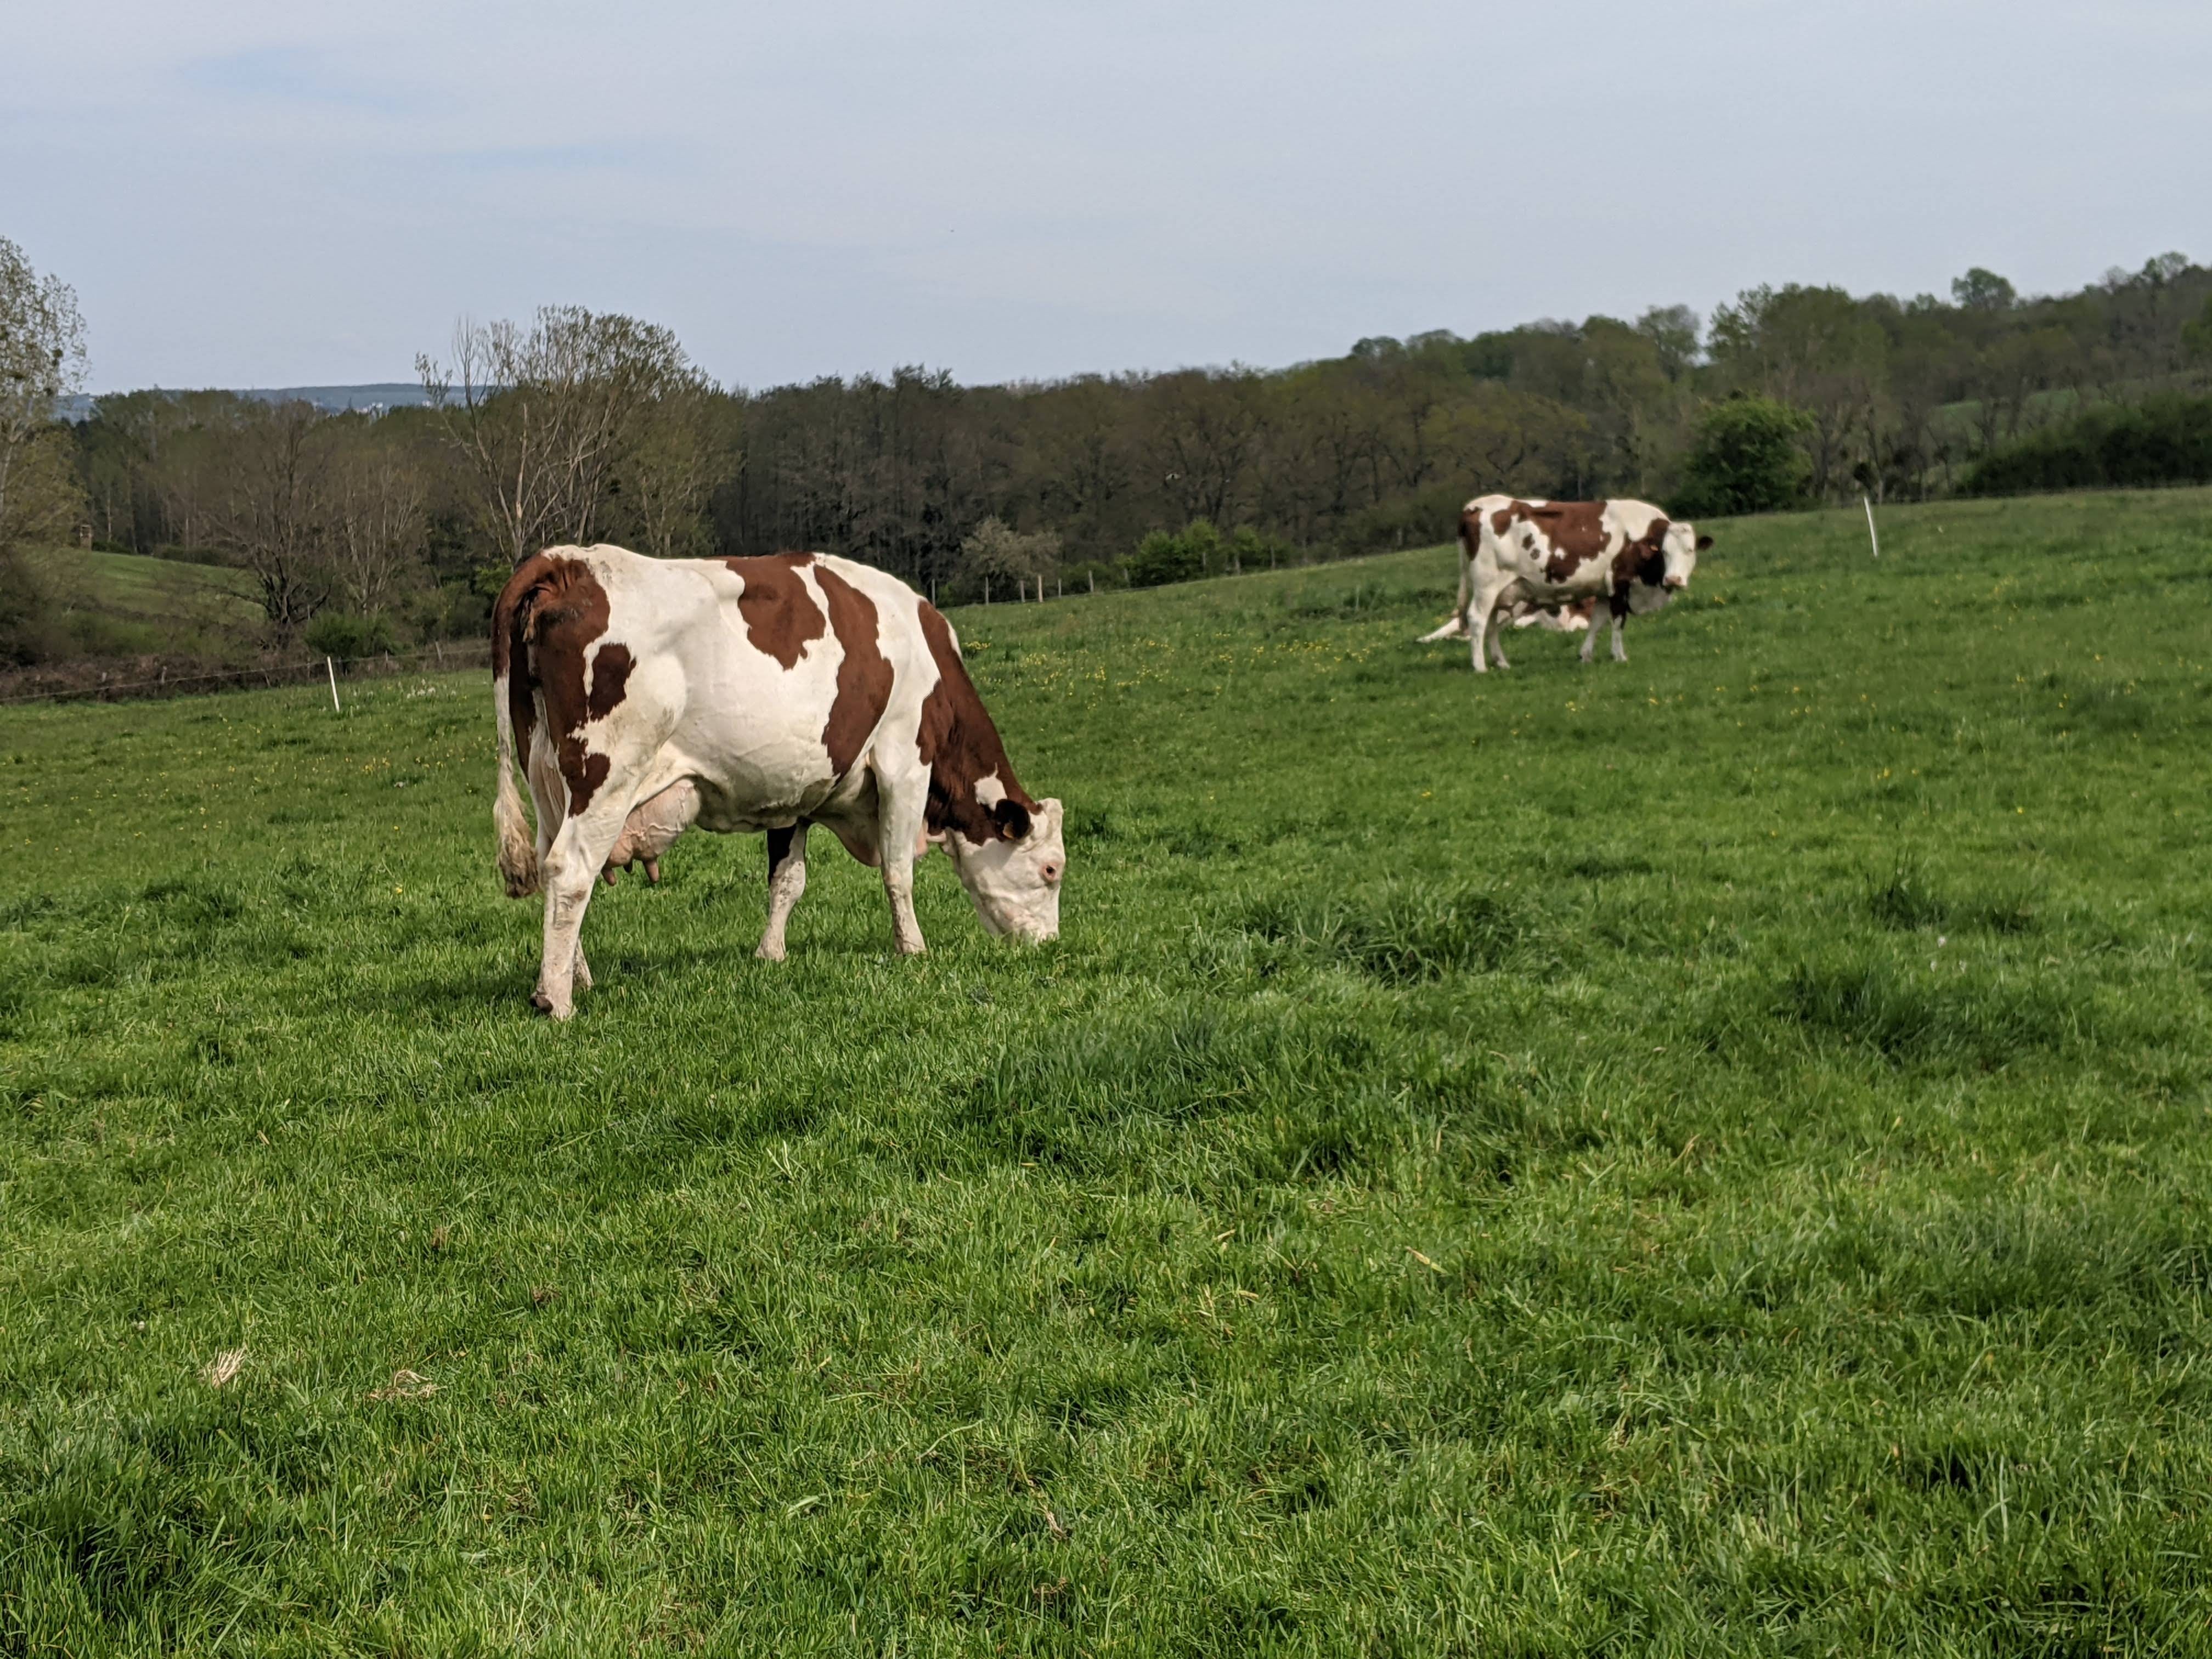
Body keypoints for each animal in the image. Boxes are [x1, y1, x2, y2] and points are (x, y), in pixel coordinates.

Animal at [493, 548, 1062, 1013]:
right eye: (1051, 870)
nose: (1050, 945)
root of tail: (566, 562)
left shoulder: (798, 791)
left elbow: (788, 880)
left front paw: (771, 954)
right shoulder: (904, 764)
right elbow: (899, 871)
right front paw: (913, 949)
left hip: (546, 779)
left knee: (551, 867)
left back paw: (577, 976)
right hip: (606, 777)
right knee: (571, 870)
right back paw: (556, 1000)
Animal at [1415, 498, 1707, 672]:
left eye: (1690, 550)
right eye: (1665, 552)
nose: (1674, 579)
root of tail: (1474, 508)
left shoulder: (1602, 590)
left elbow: (1597, 622)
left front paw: (1586, 655)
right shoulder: (1619, 583)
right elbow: (1617, 623)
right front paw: (1619, 656)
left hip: (1502, 593)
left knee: (1491, 624)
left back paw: (1502, 662)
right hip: (1486, 586)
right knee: (1477, 619)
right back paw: (1480, 666)